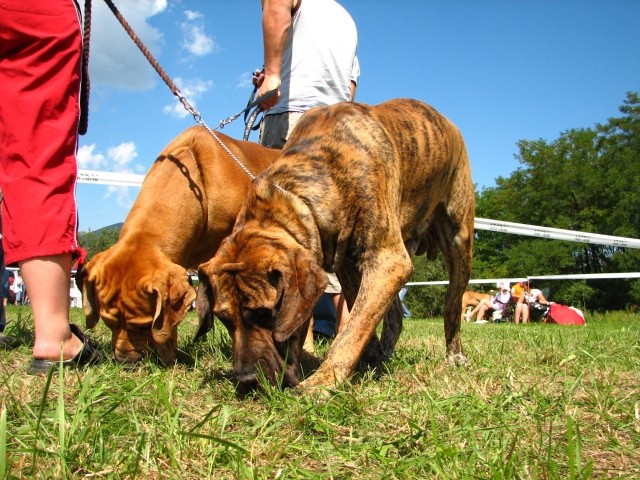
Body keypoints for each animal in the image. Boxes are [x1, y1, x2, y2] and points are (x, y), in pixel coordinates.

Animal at [198, 98, 478, 390]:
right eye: (224, 318)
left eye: (265, 314)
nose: (247, 379)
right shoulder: (347, 264)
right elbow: (360, 315)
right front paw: (368, 358)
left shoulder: (387, 260)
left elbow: (352, 329)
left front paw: (322, 382)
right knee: (395, 316)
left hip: (459, 240)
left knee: (451, 307)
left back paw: (455, 356)